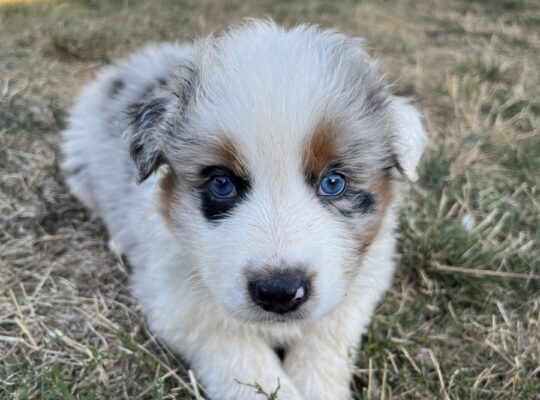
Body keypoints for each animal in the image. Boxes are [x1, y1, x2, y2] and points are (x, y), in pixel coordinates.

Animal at [62, 20, 426, 400]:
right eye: (221, 184)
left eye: (333, 182)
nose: (280, 292)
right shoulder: (180, 307)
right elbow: (245, 362)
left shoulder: (360, 286)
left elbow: (324, 344)